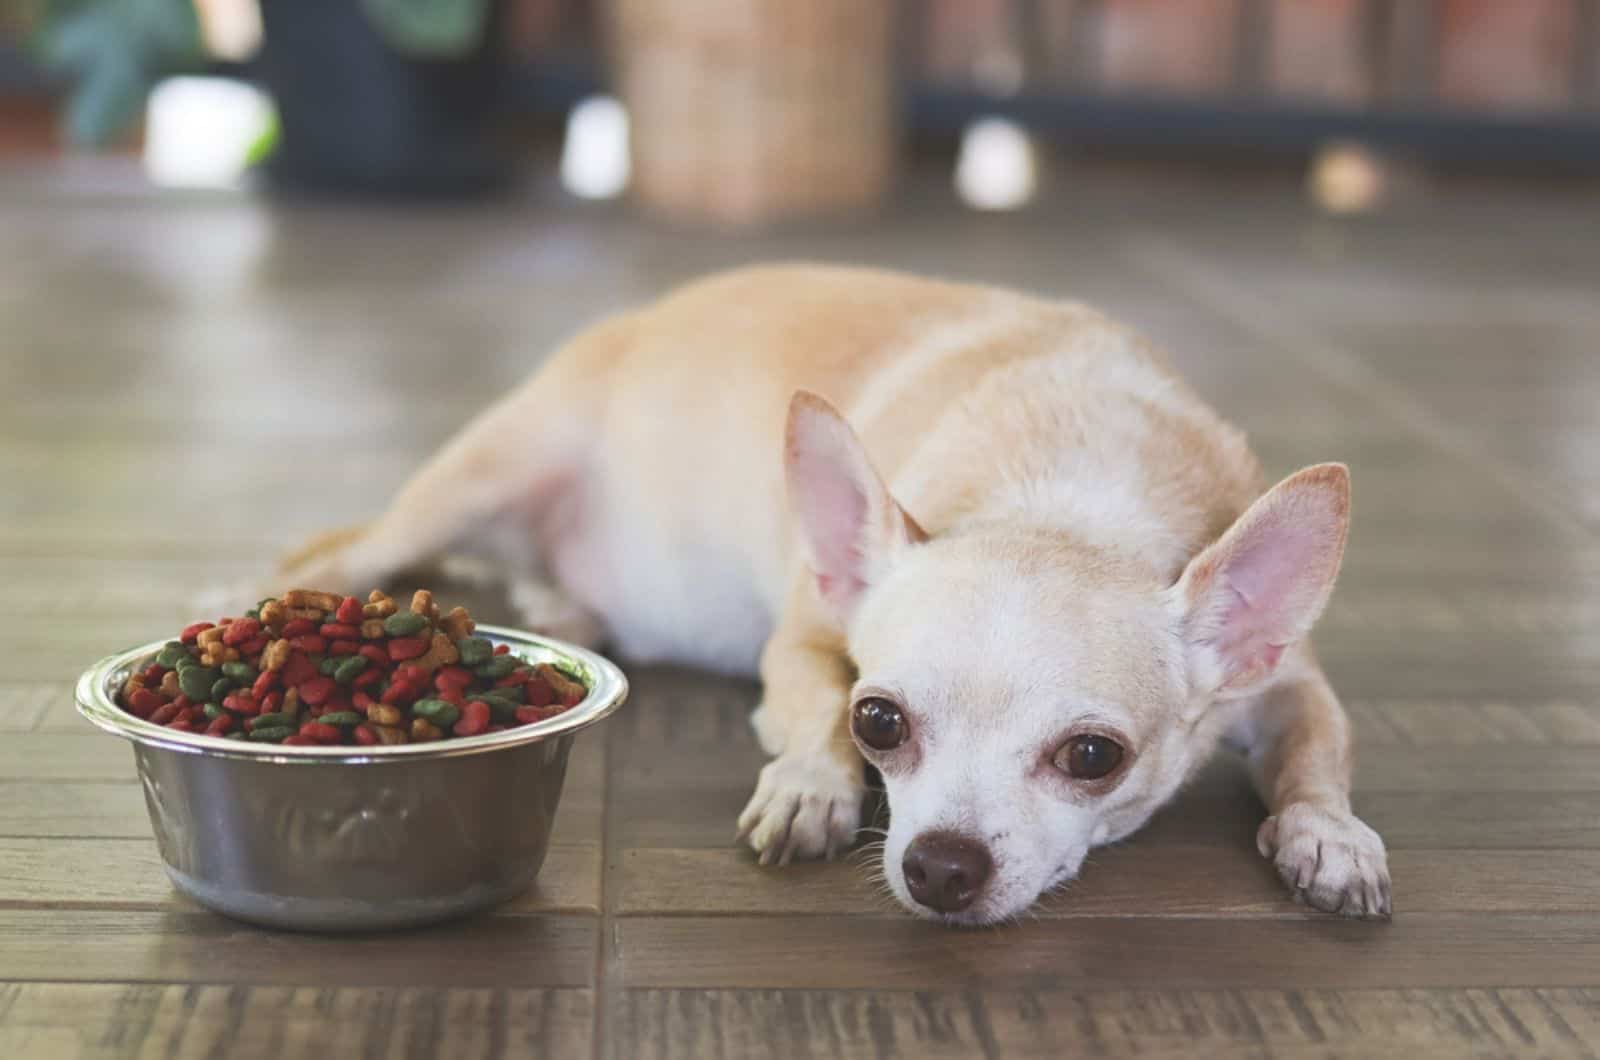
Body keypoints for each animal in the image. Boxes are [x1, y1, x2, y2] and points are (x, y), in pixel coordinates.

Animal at [272, 267, 1388, 928]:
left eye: (1092, 757)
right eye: (878, 721)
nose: (940, 866)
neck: (1069, 499)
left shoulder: (1288, 681)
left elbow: (1317, 752)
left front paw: (1328, 834)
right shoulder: (807, 638)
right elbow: (806, 709)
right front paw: (811, 785)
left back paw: (564, 608)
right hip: (479, 475)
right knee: (346, 550)